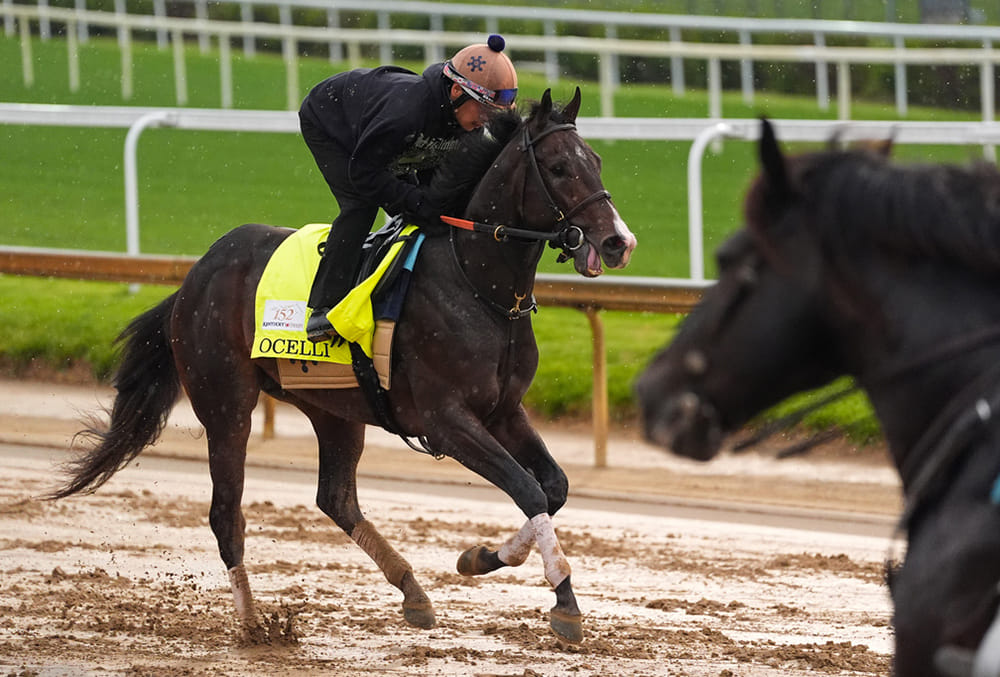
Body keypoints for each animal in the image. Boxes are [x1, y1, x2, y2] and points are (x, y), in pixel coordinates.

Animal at [47, 88, 637, 645]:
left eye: (597, 161)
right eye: (558, 168)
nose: (618, 241)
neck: (477, 283)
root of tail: (195, 276)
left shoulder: (503, 411)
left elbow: (553, 486)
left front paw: (483, 558)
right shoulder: (446, 420)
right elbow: (528, 489)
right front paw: (565, 603)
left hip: (334, 409)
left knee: (335, 497)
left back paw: (412, 591)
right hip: (226, 403)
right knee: (227, 514)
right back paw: (254, 626)